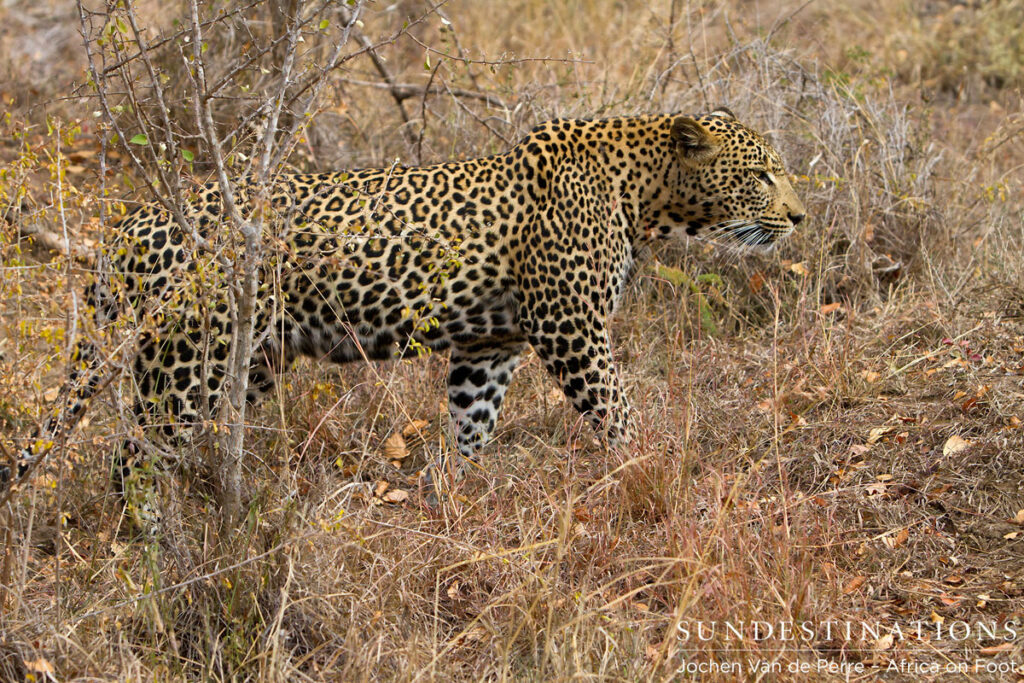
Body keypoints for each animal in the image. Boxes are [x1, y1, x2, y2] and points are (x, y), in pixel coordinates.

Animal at [4, 107, 805, 499]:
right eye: (764, 175)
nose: (799, 217)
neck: (646, 195)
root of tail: (130, 225)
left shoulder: (490, 345)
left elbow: (473, 421)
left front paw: (456, 494)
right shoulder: (569, 328)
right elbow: (617, 410)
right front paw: (649, 471)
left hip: (251, 359)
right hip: (185, 365)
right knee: (131, 457)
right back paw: (146, 544)